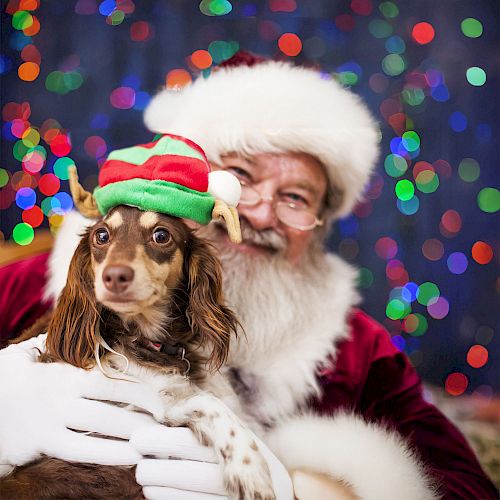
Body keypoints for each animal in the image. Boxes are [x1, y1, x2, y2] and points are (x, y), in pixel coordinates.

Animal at [0, 204, 274, 500]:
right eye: (101, 236)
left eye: (161, 235)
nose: (114, 276)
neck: (145, 339)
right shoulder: (150, 403)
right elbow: (210, 404)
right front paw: (251, 470)